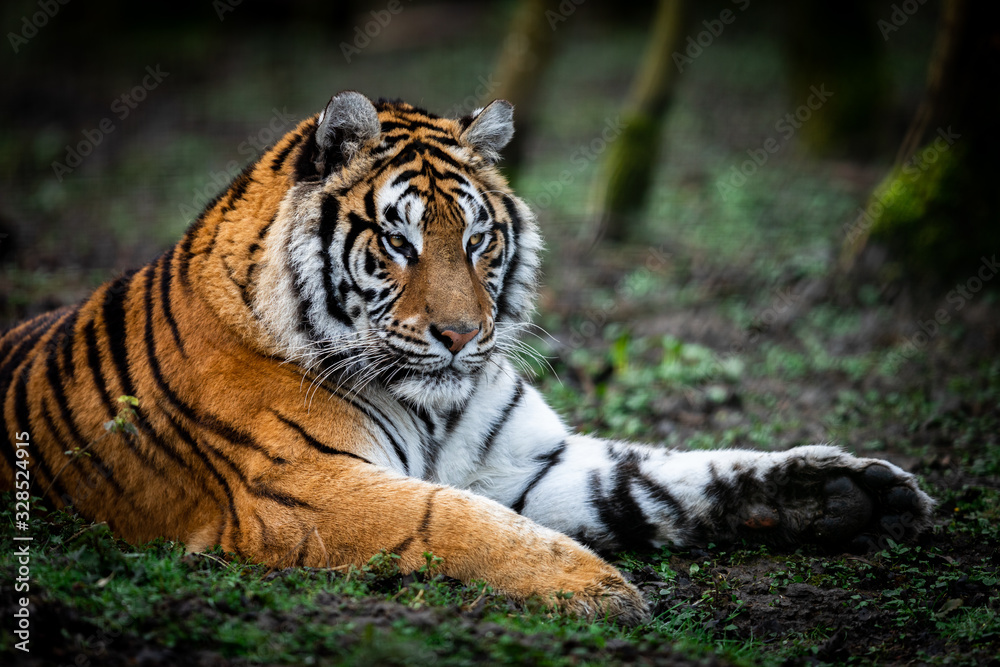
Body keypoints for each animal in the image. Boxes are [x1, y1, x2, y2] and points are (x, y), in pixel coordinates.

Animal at [1, 91, 936, 624]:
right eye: (398, 242)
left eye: (479, 239)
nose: (459, 334)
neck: (432, 400)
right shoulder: (297, 488)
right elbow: (450, 516)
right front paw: (598, 589)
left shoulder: (532, 461)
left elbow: (670, 477)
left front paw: (847, 491)